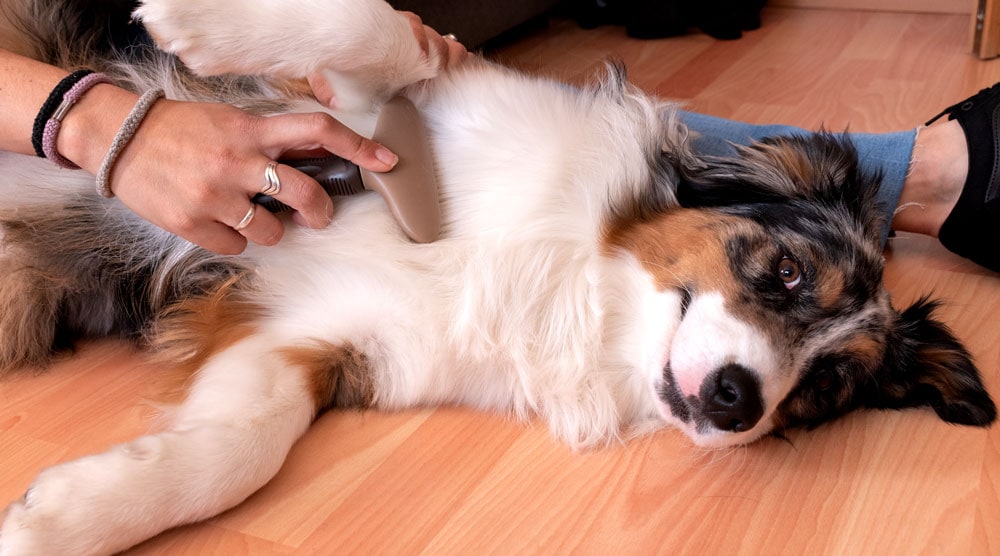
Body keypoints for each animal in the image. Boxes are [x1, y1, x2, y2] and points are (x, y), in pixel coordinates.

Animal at [0, 0, 996, 552]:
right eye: (786, 273)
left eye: (825, 387)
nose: (735, 402)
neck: (578, 280)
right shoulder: (393, 113)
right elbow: (382, 31)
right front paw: (196, 19)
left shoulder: (308, 333)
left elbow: (240, 449)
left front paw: (64, 517)